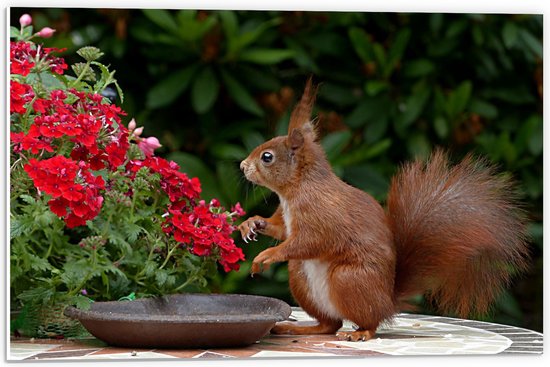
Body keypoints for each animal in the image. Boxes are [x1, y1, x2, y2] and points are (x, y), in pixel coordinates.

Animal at [239, 78, 532, 342]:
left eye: (267, 157)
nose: (242, 166)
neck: (296, 190)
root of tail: (388, 301)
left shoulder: (322, 214)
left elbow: (310, 241)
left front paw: (268, 254)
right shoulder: (287, 218)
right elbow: (281, 230)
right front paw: (252, 223)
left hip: (349, 279)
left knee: (367, 321)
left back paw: (361, 332)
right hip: (300, 277)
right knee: (330, 324)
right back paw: (298, 328)